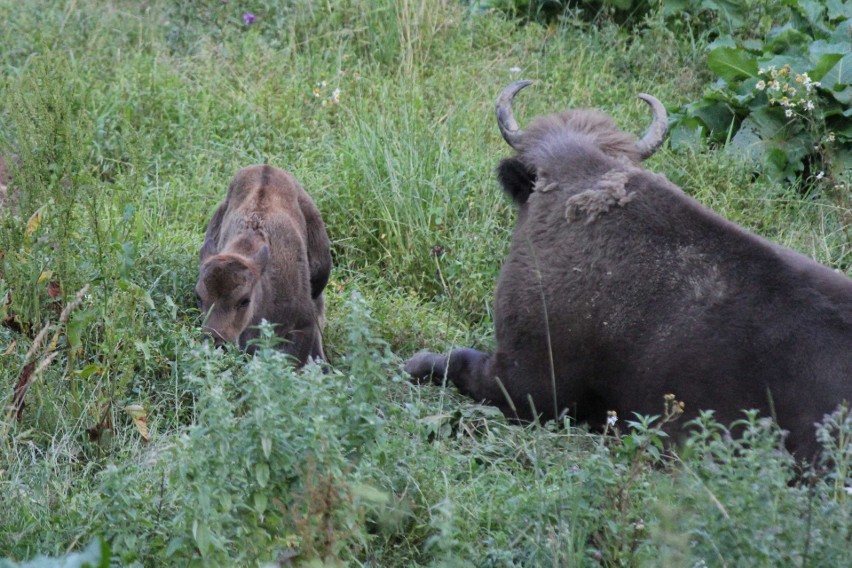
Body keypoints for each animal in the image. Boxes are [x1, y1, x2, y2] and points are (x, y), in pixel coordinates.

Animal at [198, 164, 332, 366]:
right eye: (199, 297)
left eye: (244, 300)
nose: (217, 342)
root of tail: (266, 167)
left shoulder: (303, 325)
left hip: (321, 270)